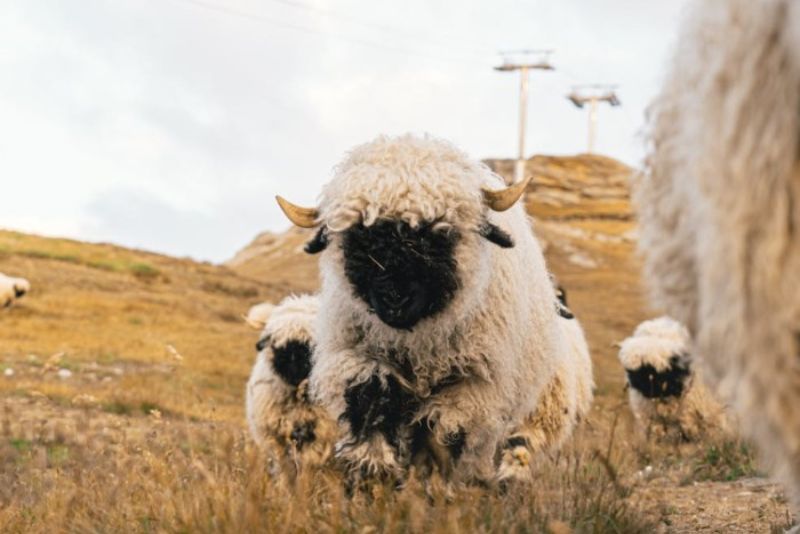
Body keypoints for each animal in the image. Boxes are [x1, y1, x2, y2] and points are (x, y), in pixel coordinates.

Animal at [275, 134, 593, 486]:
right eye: (359, 236)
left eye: (440, 234)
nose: (394, 299)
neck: (417, 342)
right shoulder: (363, 360)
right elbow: (372, 410)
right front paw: (373, 479)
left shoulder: (469, 385)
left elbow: (441, 436)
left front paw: (430, 486)